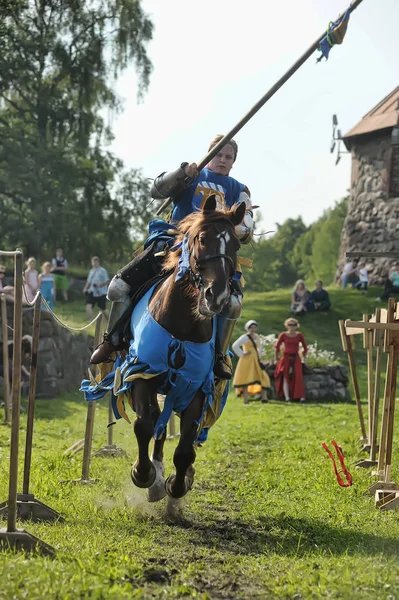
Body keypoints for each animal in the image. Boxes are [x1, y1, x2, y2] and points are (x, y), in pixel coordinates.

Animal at [130, 196, 245, 502]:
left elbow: (184, 448)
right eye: (201, 239)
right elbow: (144, 424)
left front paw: (177, 484)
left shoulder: (194, 389)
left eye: (236, 245)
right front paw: (143, 474)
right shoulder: (142, 375)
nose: (217, 296)